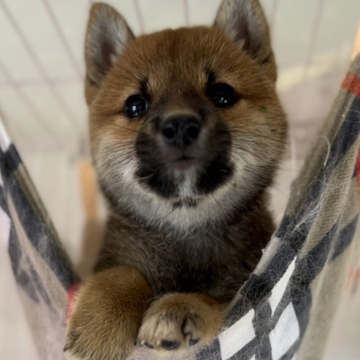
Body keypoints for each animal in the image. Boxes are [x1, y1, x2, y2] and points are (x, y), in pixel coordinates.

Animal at [65, 0, 286, 358]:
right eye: (135, 105)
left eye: (222, 95)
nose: (179, 125)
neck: (185, 232)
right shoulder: (112, 260)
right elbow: (123, 272)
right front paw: (101, 320)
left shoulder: (242, 286)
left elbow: (210, 298)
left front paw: (179, 308)